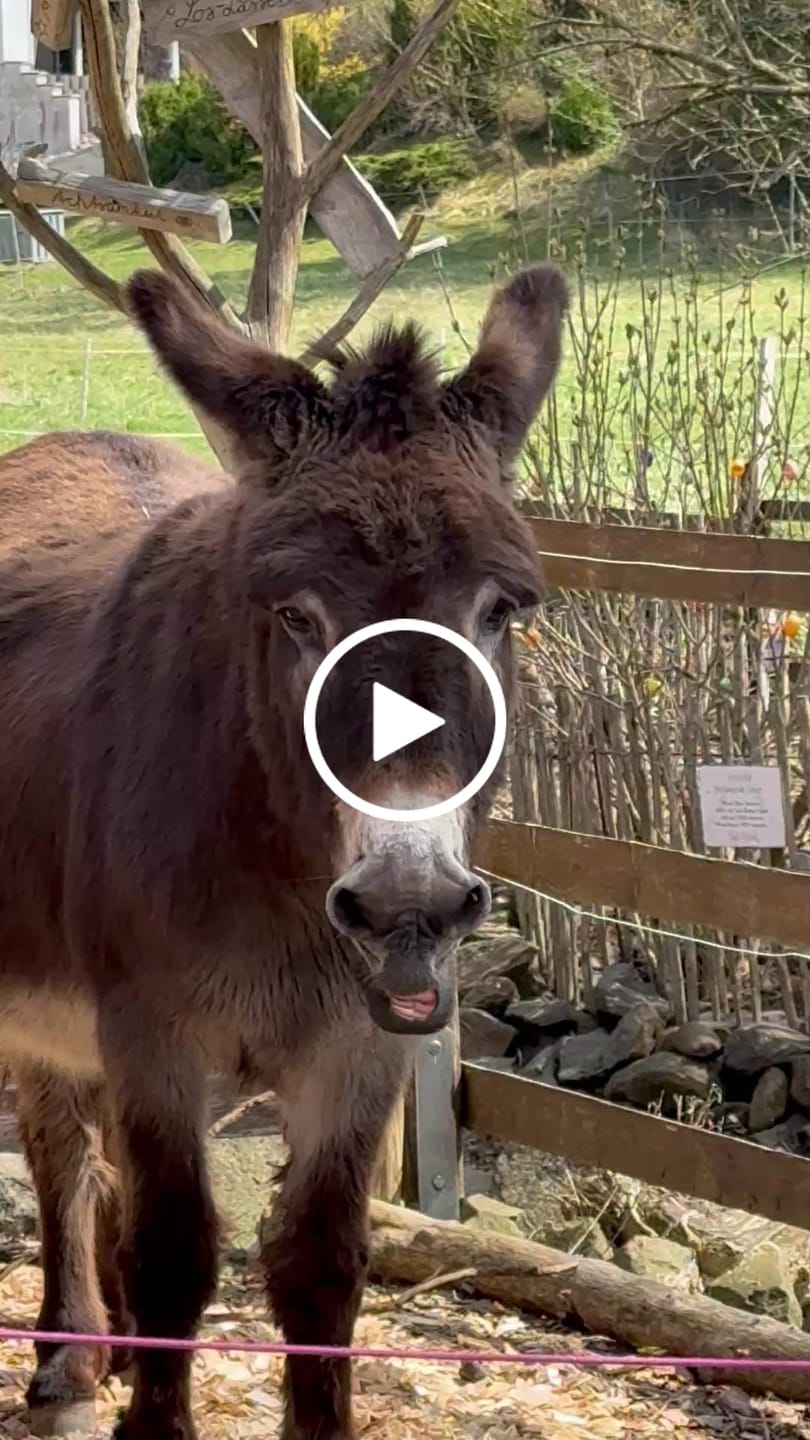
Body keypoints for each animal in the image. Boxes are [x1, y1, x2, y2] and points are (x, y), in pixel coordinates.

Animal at [0, 260, 568, 1440]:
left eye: (500, 612)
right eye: (297, 617)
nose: (406, 903)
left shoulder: (361, 1051)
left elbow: (320, 1260)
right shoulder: (152, 1031)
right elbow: (176, 1249)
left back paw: (105, 1346)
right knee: (63, 1152)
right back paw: (71, 1361)